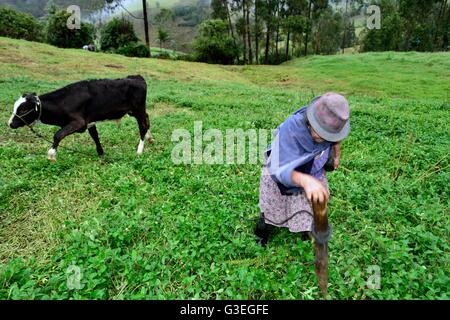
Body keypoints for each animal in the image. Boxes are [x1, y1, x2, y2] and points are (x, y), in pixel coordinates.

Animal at [7, 74, 153, 160]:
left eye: (23, 109)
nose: (10, 123)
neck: (63, 102)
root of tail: (136, 77)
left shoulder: (80, 122)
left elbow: (58, 134)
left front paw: (52, 154)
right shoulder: (89, 121)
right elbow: (95, 136)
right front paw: (101, 154)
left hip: (138, 109)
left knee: (142, 126)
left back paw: (139, 150)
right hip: (133, 111)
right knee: (147, 119)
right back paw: (150, 138)